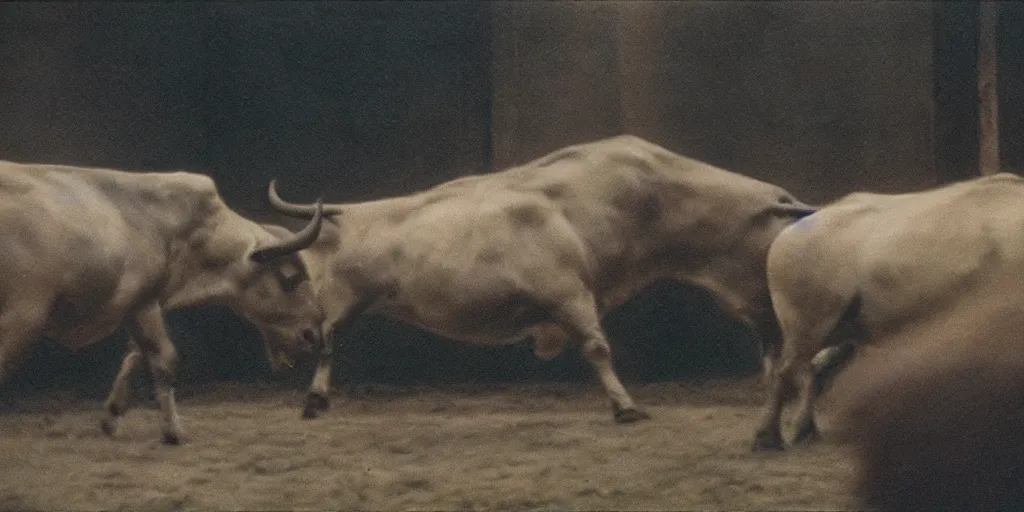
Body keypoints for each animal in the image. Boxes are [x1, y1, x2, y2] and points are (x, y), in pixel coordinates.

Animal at [0, 161, 323, 442]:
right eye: (290, 277)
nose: (312, 335)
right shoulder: (144, 304)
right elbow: (165, 358)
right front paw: (173, 431)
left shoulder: (140, 307)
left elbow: (136, 354)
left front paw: (111, 416)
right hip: (22, 320)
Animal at [266, 134, 815, 421]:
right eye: (780, 232)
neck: (643, 196)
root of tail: (344, 216)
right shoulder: (569, 294)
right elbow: (597, 347)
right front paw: (625, 406)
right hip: (336, 306)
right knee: (326, 342)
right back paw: (314, 398)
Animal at [749, 173, 1024, 452]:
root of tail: (788, 230)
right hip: (806, 255)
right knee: (802, 343)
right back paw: (769, 440)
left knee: (828, 347)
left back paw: (805, 433)